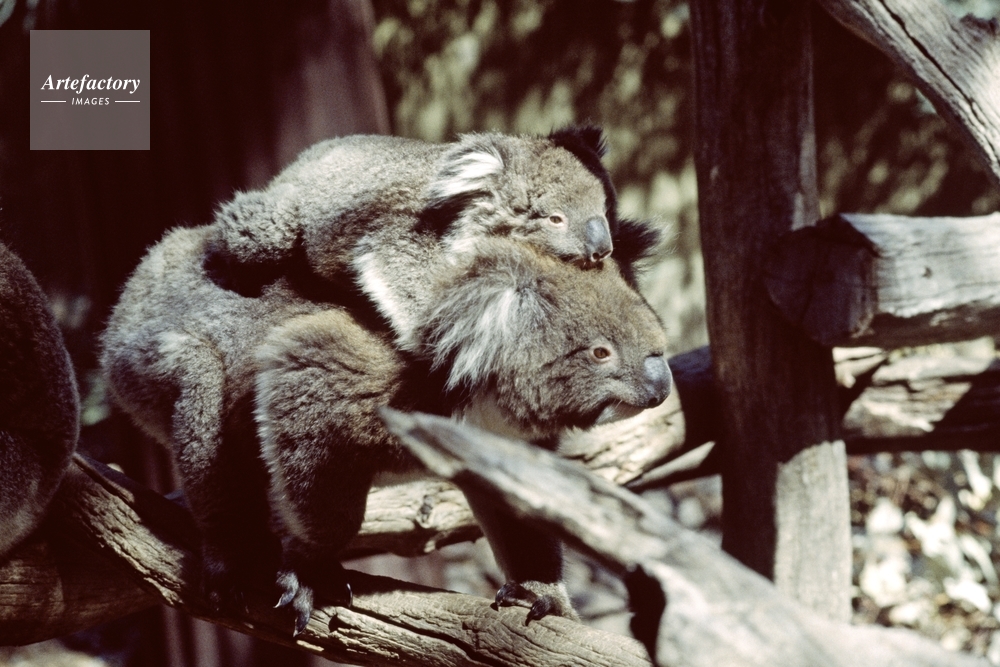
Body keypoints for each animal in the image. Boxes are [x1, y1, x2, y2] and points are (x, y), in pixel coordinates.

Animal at [101, 226, 671, 634]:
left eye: (656, 339)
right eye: (600, 352)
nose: (660, 387)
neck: (484, 400)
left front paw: (541, 594)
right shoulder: (328, 373)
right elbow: (326, 497)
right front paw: (312, 572)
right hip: (158, 367)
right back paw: (234, 555)